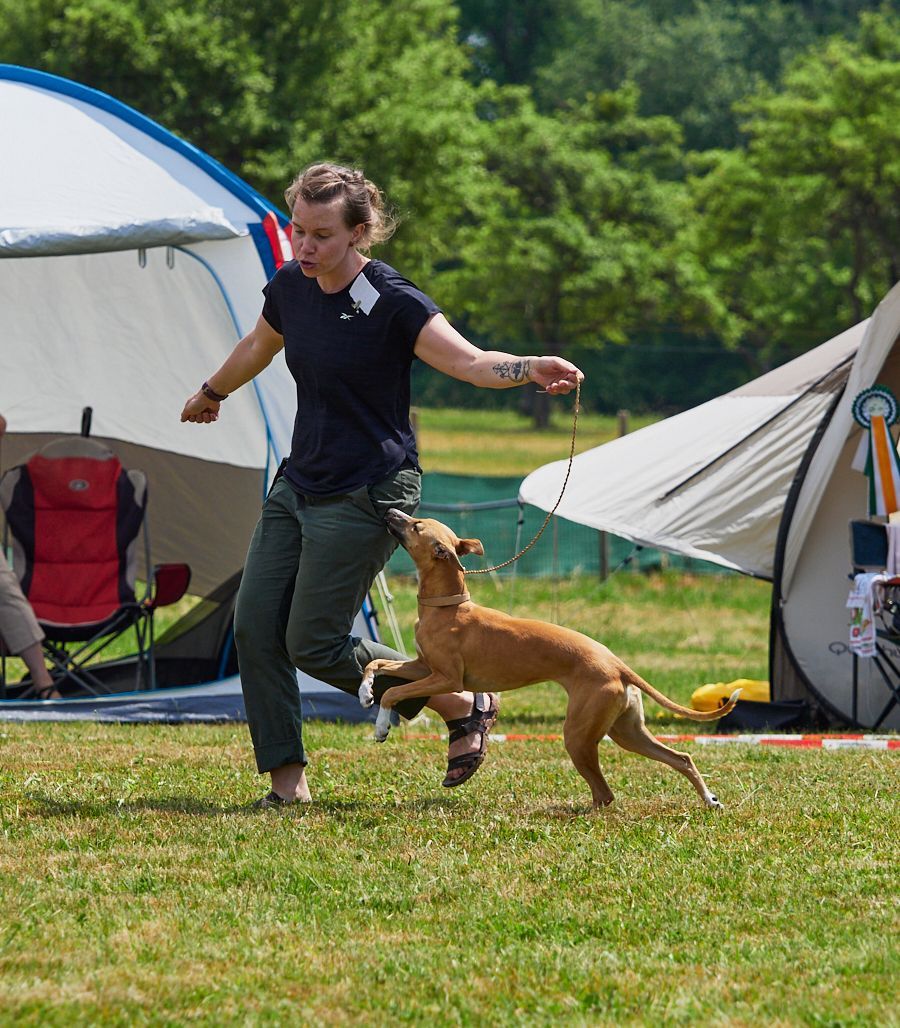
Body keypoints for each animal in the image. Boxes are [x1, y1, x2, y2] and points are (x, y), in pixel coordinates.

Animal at [359, 509, 740, 811]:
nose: (390, 510)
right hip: (626, 730)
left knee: (605, 793)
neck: (448, 606)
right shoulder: (423, 666)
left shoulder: (447, 678)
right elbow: (376, 665)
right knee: (681, 757)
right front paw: (365, 692)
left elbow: (393, 692)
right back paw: (710, 800)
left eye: (417, 525)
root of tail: (617, 663)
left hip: (580, 733)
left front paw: (381, 727)